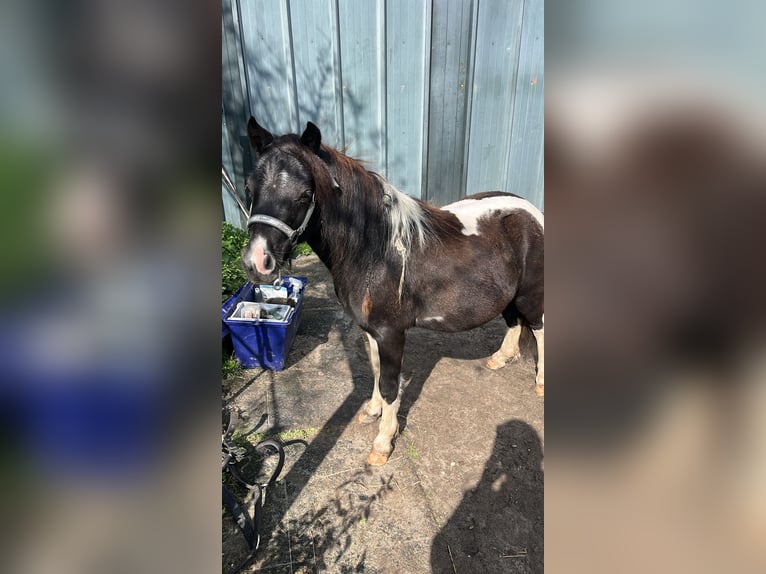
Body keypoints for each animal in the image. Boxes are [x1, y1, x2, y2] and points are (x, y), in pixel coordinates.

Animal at [242, 118, 544, 468]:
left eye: (305, 194)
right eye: (250, 189)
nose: (257, 262)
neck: (374, 250)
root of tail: (532, 212)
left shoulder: (391, 333)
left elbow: (389, 384)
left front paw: (383, 443)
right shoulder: (371, 331)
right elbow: (375, 371)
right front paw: (372, 412)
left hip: (531, 295)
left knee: (538, 328)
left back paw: (540, 384)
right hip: (508, 295)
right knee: (513, 322)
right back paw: (499, 360)